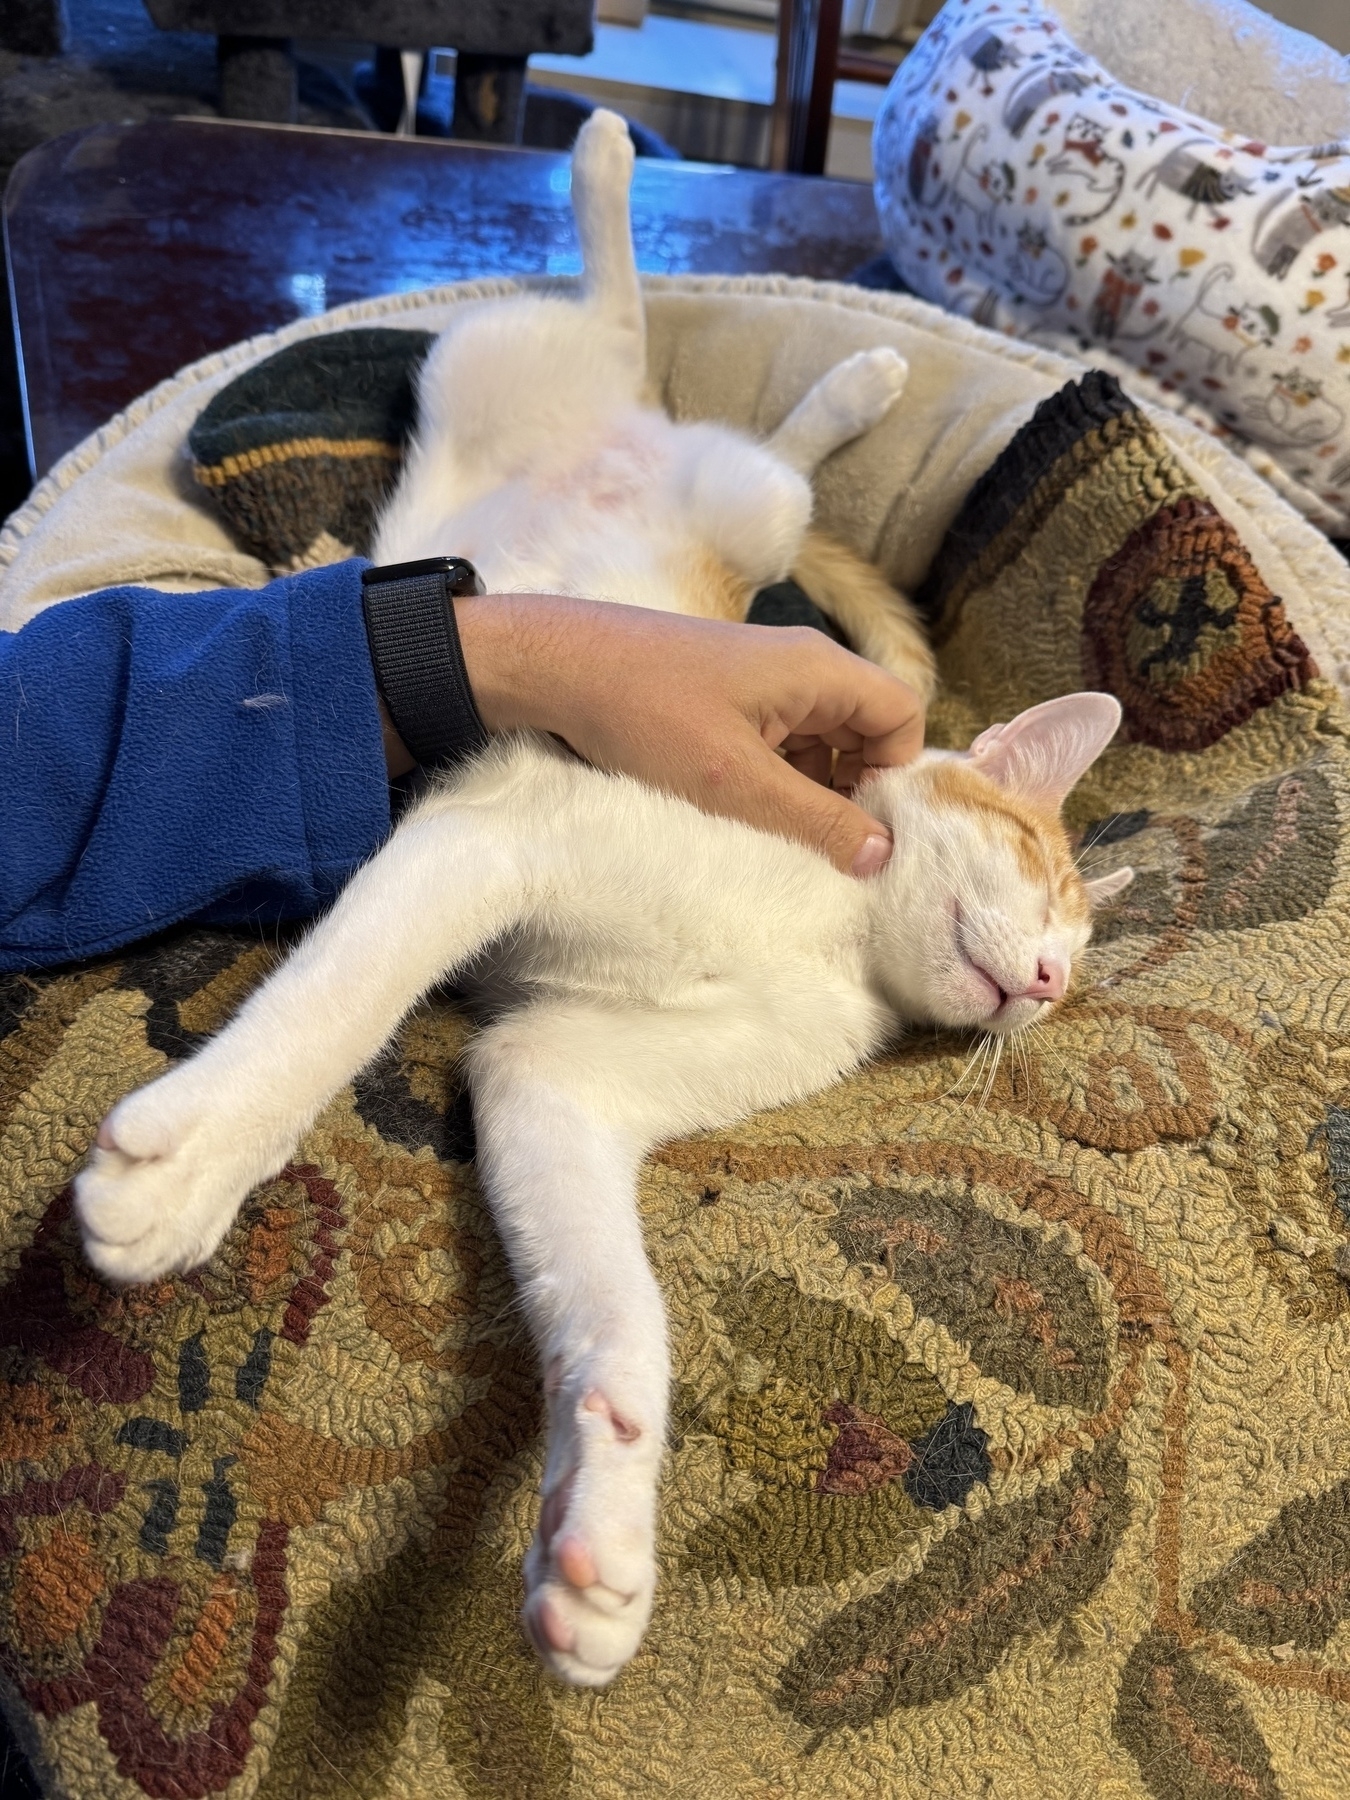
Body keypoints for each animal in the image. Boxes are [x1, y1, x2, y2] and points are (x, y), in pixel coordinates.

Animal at [73, 112, 1137, 1684]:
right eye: (1040, 870)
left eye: (1073, 962)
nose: (1052, 981)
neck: (837, 935)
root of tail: (633, 443)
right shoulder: (496, 834)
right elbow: (336, 1011)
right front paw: (193, 1163)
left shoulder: (548, 1069)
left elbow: (611, 1301)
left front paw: (603, 1523)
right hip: (611, 436)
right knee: (638, 341)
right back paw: (617, 172)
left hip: (630, 462)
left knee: (707, 409)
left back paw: (829, 363)